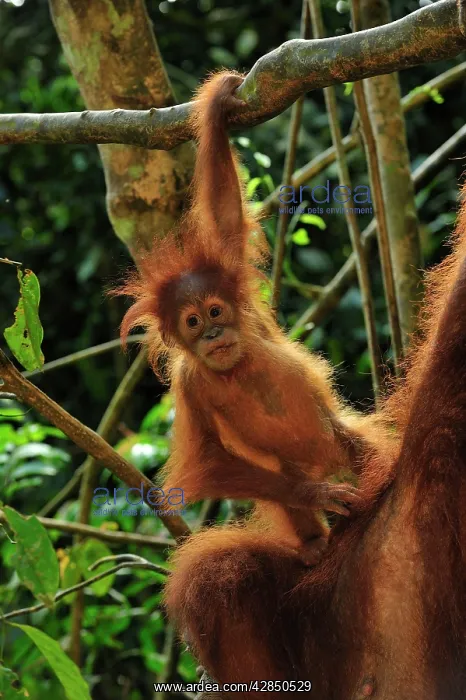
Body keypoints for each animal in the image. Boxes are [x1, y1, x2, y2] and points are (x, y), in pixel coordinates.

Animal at [116, 71, 392, 566]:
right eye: (191, 323)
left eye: (214, 310)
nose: (213, 333)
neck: (236, 365)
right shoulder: (188, 385)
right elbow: (207, 460)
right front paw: (315, 494)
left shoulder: (237, 285)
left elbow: (225, 212)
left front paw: (219, 101)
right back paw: (314, 541)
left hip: (348, 446)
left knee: (354, 442)